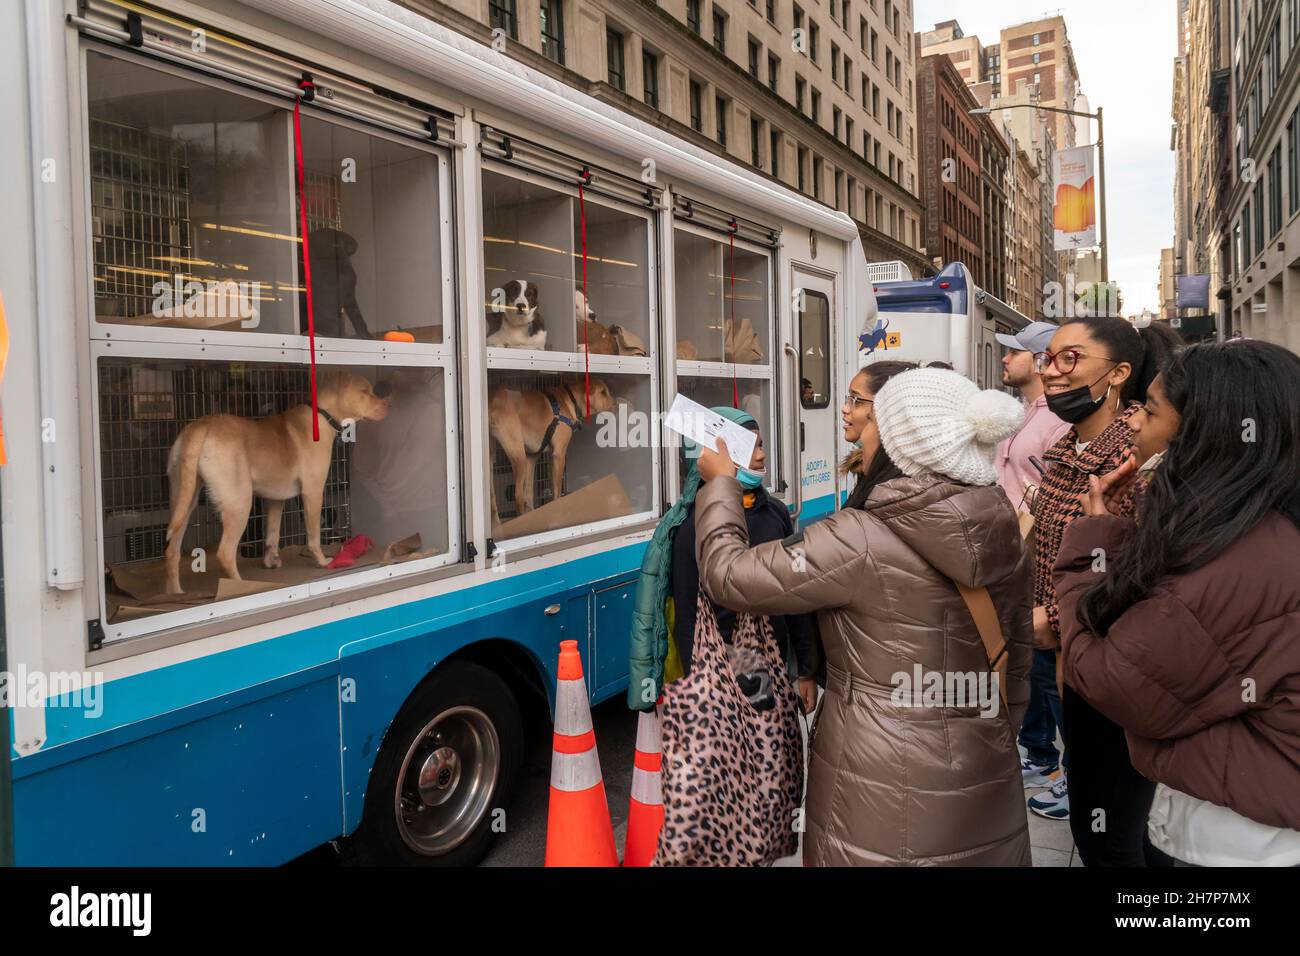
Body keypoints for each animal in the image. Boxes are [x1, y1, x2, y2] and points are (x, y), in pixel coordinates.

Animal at [161, 371, 387, 590]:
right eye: (364, 391)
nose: (388, 405)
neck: (322, 415)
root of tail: (201, 426)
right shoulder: (313, 492)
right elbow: (313, 534)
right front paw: (322, 561)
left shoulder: (276, 499)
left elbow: (272, 534)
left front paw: (270, 561)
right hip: (239, 502)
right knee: (225, 552)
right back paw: (241, 586)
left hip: (183, 500)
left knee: (172, 552)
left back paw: (176, 593)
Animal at [488, 377, 618, 520]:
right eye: (603, 392)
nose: (616, 403)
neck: (570, 401)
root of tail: (493, 400)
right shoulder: (559, 454)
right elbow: (556, 492)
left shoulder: (532, 458)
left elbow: (529, 494)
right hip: (518, 456)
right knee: (517, 496)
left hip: (493, 459)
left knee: (493, 499)